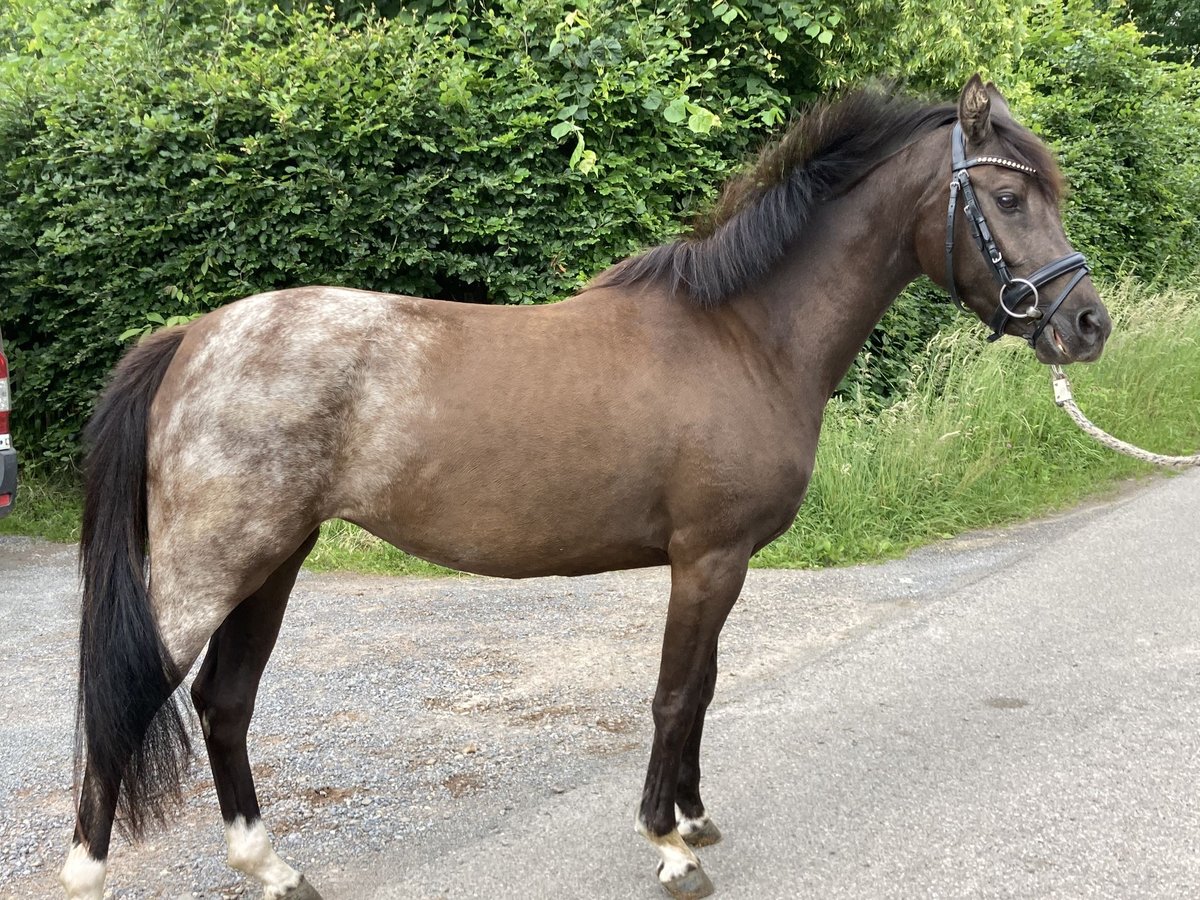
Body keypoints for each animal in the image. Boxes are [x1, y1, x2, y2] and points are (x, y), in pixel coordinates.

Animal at [56, 77, 1104, 900]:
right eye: (1008, 197)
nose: (1086, 324)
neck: (741, 336)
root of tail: (191, 337)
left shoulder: (716, 564)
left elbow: (704, 687)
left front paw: (694, 815)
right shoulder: (708, 559)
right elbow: (675, 694)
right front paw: (669, 846)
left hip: (273, 563)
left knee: (224, 704)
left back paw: (273, 868)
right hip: (212, 569)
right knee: (127, 697)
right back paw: (91, 873)